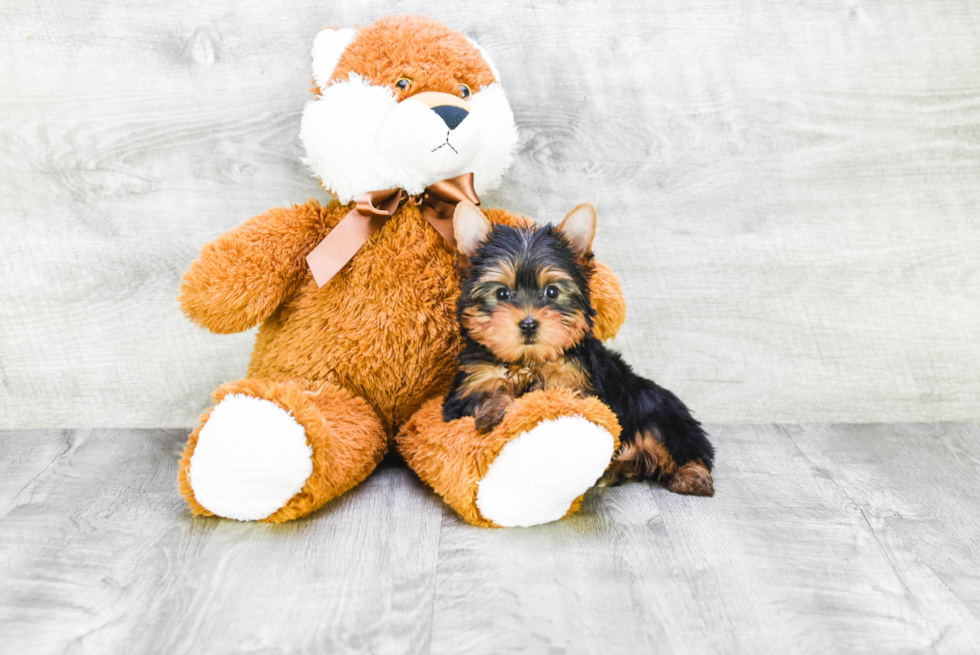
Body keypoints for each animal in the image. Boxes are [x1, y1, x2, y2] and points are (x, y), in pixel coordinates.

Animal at [444, 202, 712, 494]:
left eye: (551, 292)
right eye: (502, 294)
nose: (528, 324)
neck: (529, 361)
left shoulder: (577, 386)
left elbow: (555, 401)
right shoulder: (469, 388)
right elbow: (486, 397)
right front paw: (495, 410)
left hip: (658, 409)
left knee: (682, 445)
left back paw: (692, 476)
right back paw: (616, 470)